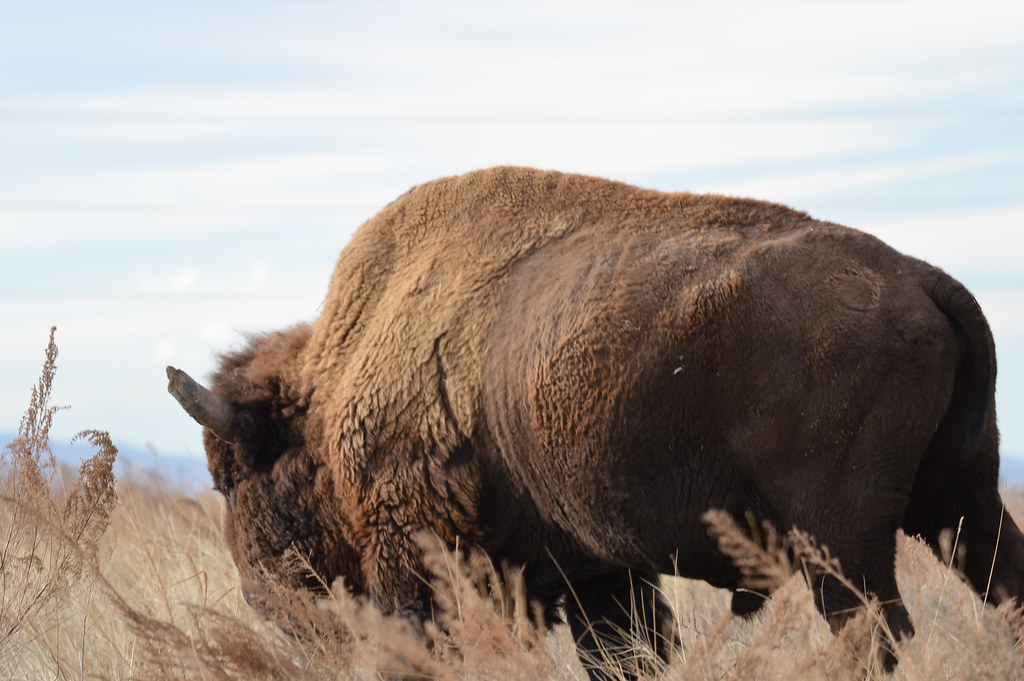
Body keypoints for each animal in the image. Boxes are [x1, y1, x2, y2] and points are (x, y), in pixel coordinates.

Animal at [167, 166, 1024, 678]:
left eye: (230, 478)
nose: (261, 599)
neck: (331, 389)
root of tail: (919, 277)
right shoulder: (601, 577)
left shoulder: (414, 554)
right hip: (960, 502)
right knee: (1001, 583)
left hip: (842, 542)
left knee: (873, 629)